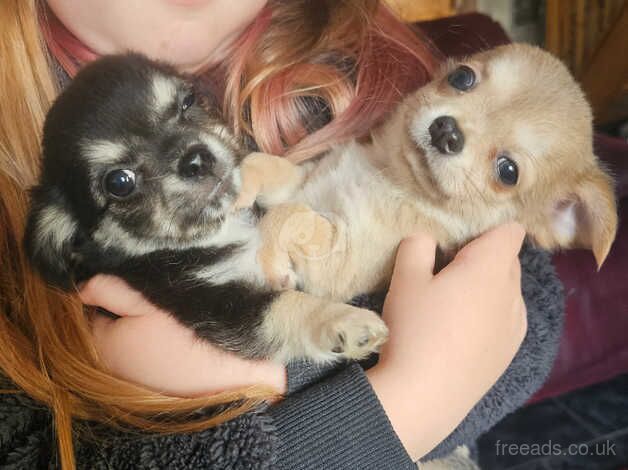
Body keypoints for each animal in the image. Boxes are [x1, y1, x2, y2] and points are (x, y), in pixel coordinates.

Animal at [25, 56, 388, 364]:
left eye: (188, 102)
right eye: (119, 182)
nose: (196, 158)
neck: (223, 227)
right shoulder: (213, 302)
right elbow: (285, 305)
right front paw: (344, 321)